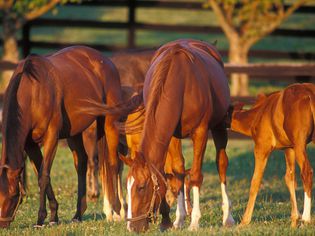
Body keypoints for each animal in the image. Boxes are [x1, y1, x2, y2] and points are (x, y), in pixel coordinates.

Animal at [0, 45, 124, 228]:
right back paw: (78, 214)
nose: (2, 224)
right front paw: (53, 216)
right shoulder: (30, 145)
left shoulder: (51, 137)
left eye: (13, 194)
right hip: (75, 133)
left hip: (109, 123)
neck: (33, 91)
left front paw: (41, 219)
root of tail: (106, 61)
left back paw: (116, 211)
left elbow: (43, 176)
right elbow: (42, 174)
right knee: (82, 164)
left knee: (113, 164)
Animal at [119, 38, 236, 232]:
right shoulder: (172, 135)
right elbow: (177, 171)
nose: (132, 227)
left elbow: (195, 175)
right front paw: (177, 219)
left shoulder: (200, 132)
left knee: (222, 164)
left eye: (142, 187)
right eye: (127, 187)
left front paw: (194, 221)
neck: (180, 83)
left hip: (219, 125)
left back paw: (228, 217)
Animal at [230, 82, 315, 227]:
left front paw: (244, 221)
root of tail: (310, 95)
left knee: (307, 173)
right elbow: (289, 177)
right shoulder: (289, 149)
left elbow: (255, 181)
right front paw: (294, 221)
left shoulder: (261, 148)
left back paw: (306, 219)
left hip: (300, 145)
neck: (258, 114)